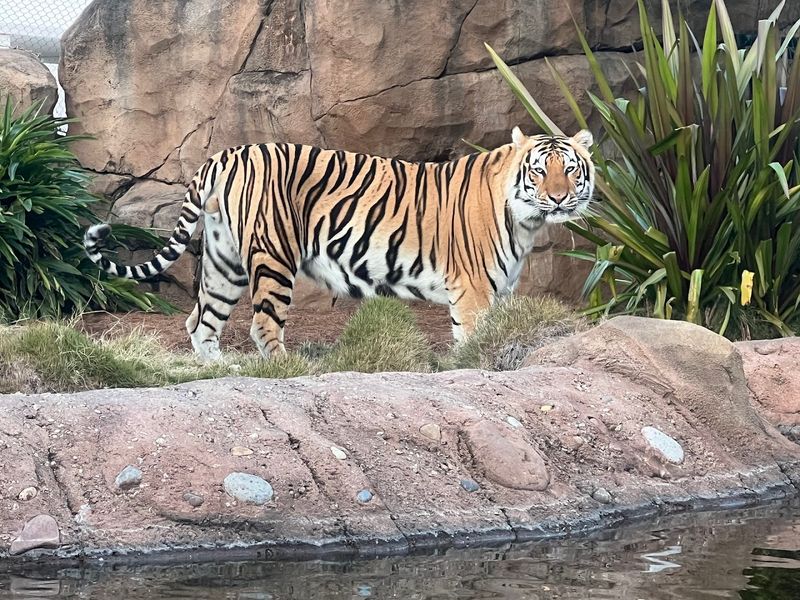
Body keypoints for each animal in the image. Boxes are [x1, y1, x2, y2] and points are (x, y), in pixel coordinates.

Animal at [84, 127, 595, 361]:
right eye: (539, 170)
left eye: (570, 169)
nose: (558, 197)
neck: (527, 222)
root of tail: (225, 153)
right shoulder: (473, 290)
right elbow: (472, 337)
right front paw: (474, 366)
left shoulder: (499, 289)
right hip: (273, 256)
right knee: (262, 326)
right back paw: (286, 369)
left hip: (223, 261)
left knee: (200, 320)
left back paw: (220, 369)